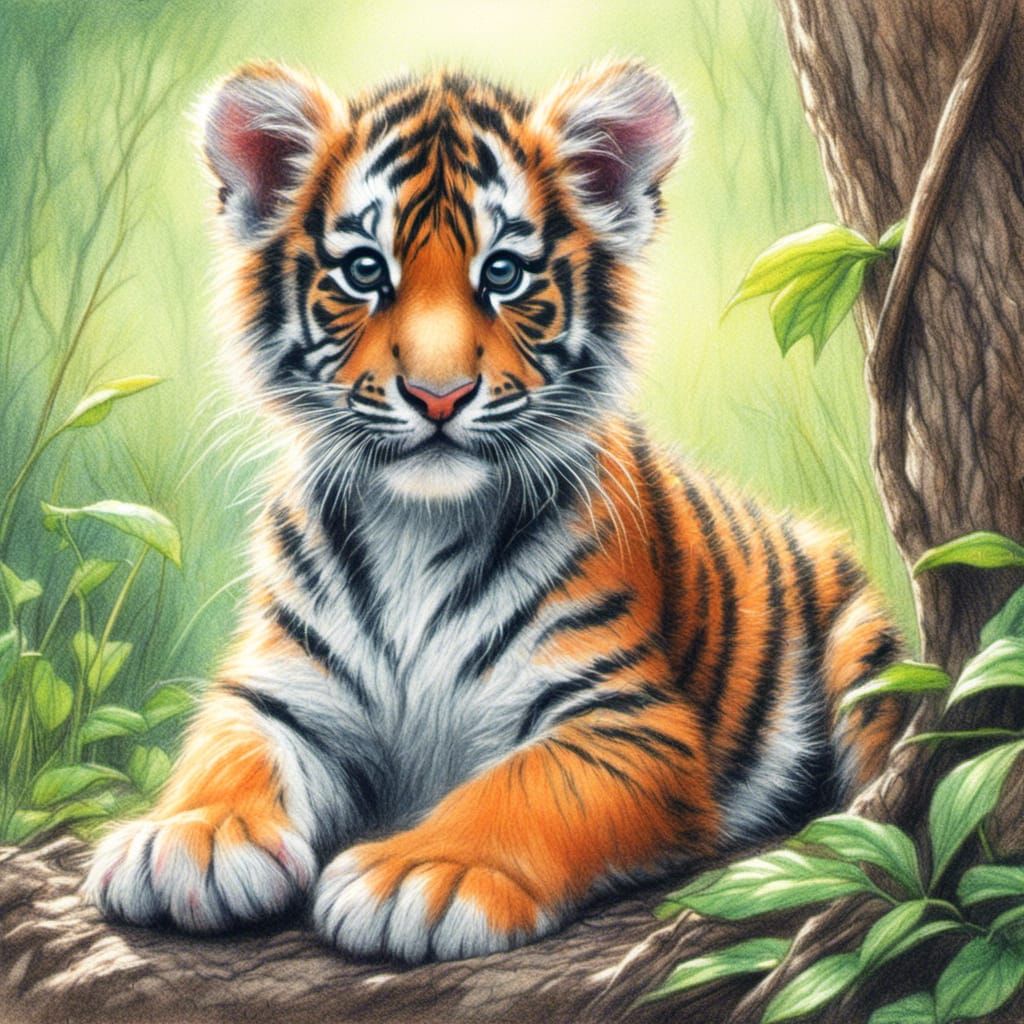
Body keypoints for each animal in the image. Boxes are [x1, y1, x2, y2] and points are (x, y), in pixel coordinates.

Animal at [83, 58, 906, 963]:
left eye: (504, 274)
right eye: (365, 271)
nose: (438, 396)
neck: (416, 527)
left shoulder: (625, 718)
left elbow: (525, 784)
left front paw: (422, 874)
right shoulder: (281, 688)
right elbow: (227, 748)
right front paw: (189, 838)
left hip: (864, 651)